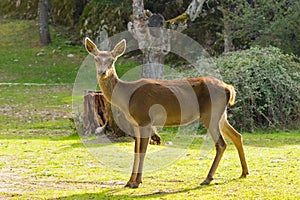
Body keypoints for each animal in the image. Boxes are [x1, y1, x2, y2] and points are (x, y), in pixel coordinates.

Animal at [84, 37, 248, 189]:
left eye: (112, 60)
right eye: (96, 59)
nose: (102, 72)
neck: (126, 98)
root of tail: (228, 88)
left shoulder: (144, 119)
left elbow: (142, 150)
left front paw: (137, 182)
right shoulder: (135, 123)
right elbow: (136, 150)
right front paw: (129, 181)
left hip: (210, 113)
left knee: (221, 144)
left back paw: (208, 178)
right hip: (221, 115)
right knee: (237, 136)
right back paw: (244, 172)